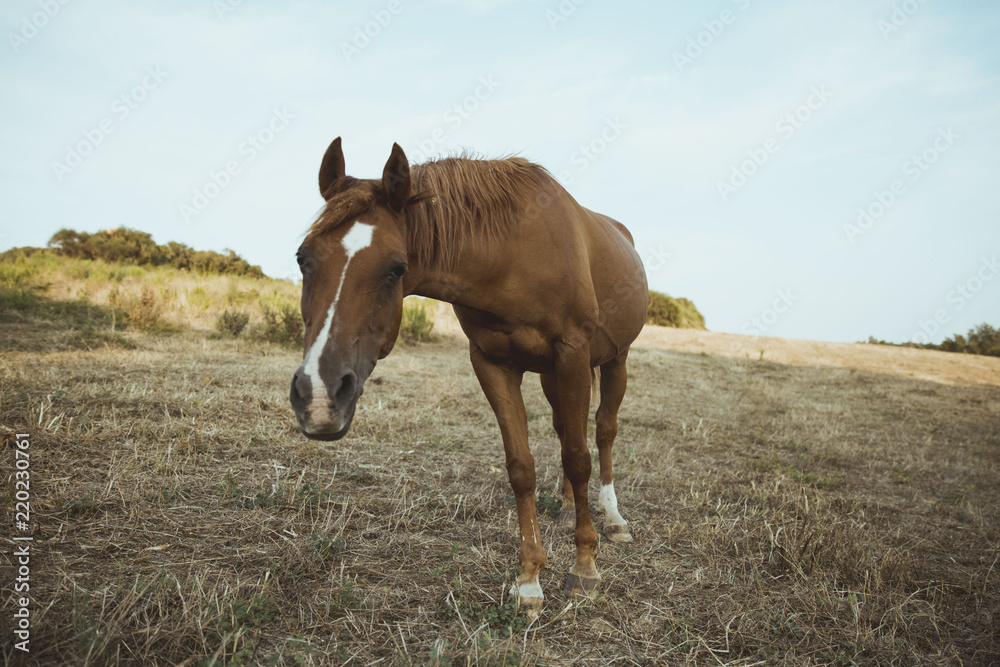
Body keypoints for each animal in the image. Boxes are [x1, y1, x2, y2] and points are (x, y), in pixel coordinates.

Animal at [289, 137, 648, 612]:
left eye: (397, 267)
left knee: (603, 432)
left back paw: (613, 518)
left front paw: (584, 566)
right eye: (302, 258)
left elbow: (579, 457)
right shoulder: (493, 363)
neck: (513, 253)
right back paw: (569, 502)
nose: (319, 396)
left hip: (614, 360)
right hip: (553, 376)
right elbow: (522, 466)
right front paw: (529, 580)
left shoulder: (572, 354)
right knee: (563, 430)